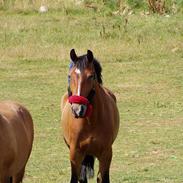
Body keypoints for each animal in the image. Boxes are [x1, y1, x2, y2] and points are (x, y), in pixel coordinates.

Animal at [60, 49, 119, 182]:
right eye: (69, 76)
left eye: (91, 76)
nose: (77, 109)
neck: (90, 121)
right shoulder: (75, 154)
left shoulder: (106, 154)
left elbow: (103, 178)